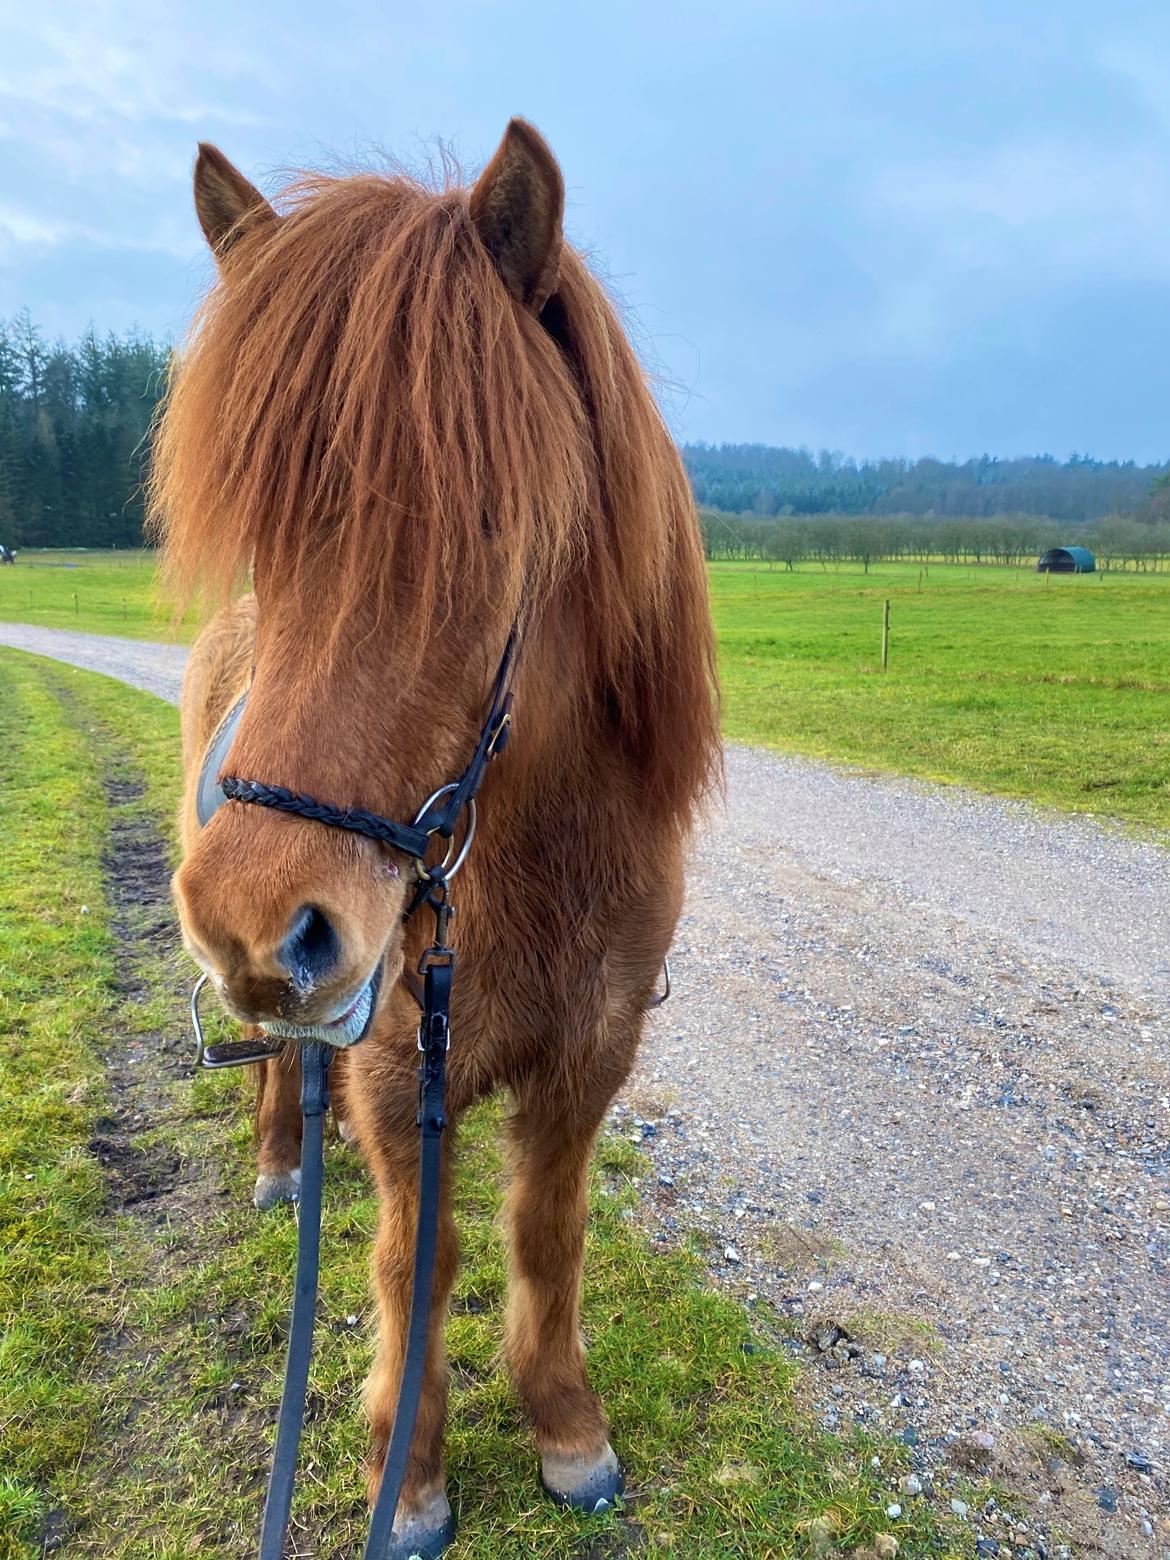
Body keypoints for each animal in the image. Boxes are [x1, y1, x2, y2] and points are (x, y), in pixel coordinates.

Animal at [153, 115, 723, 1553]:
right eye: (259, 531)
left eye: (484, 523)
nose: (257, 921)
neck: (528, 867)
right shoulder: (388, 1073)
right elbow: (419, 1261)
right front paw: (404, 1474)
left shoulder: (587, 1059)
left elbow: (543, 1236)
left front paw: (565, 1425)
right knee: (272, 1072)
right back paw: (278, 1168)